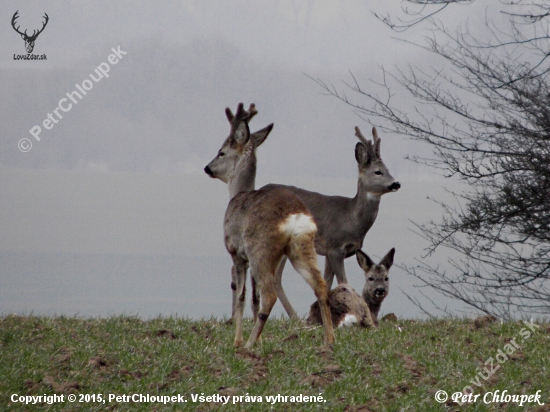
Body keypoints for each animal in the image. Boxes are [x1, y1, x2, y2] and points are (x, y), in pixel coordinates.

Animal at [205, 102, 336, 348]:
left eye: (221, 152)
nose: (208, 168)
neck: (238, 193)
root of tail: (295, 215)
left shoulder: (236, 252)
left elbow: (242, 296)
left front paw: (237, 341)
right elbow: (252, 298)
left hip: (261, 249)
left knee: (270, 295)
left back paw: (249, 345)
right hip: (302, 248)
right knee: (320, 286)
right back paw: (329, 340)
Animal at [264, 125, 402, 318]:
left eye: (388, 169)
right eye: (378, 171)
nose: (396, 184)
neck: (351, 219)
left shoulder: (331, 251)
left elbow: (327, 284)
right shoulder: (335, 247)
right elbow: (343, 282)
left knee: (274, 277)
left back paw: (294, 318)